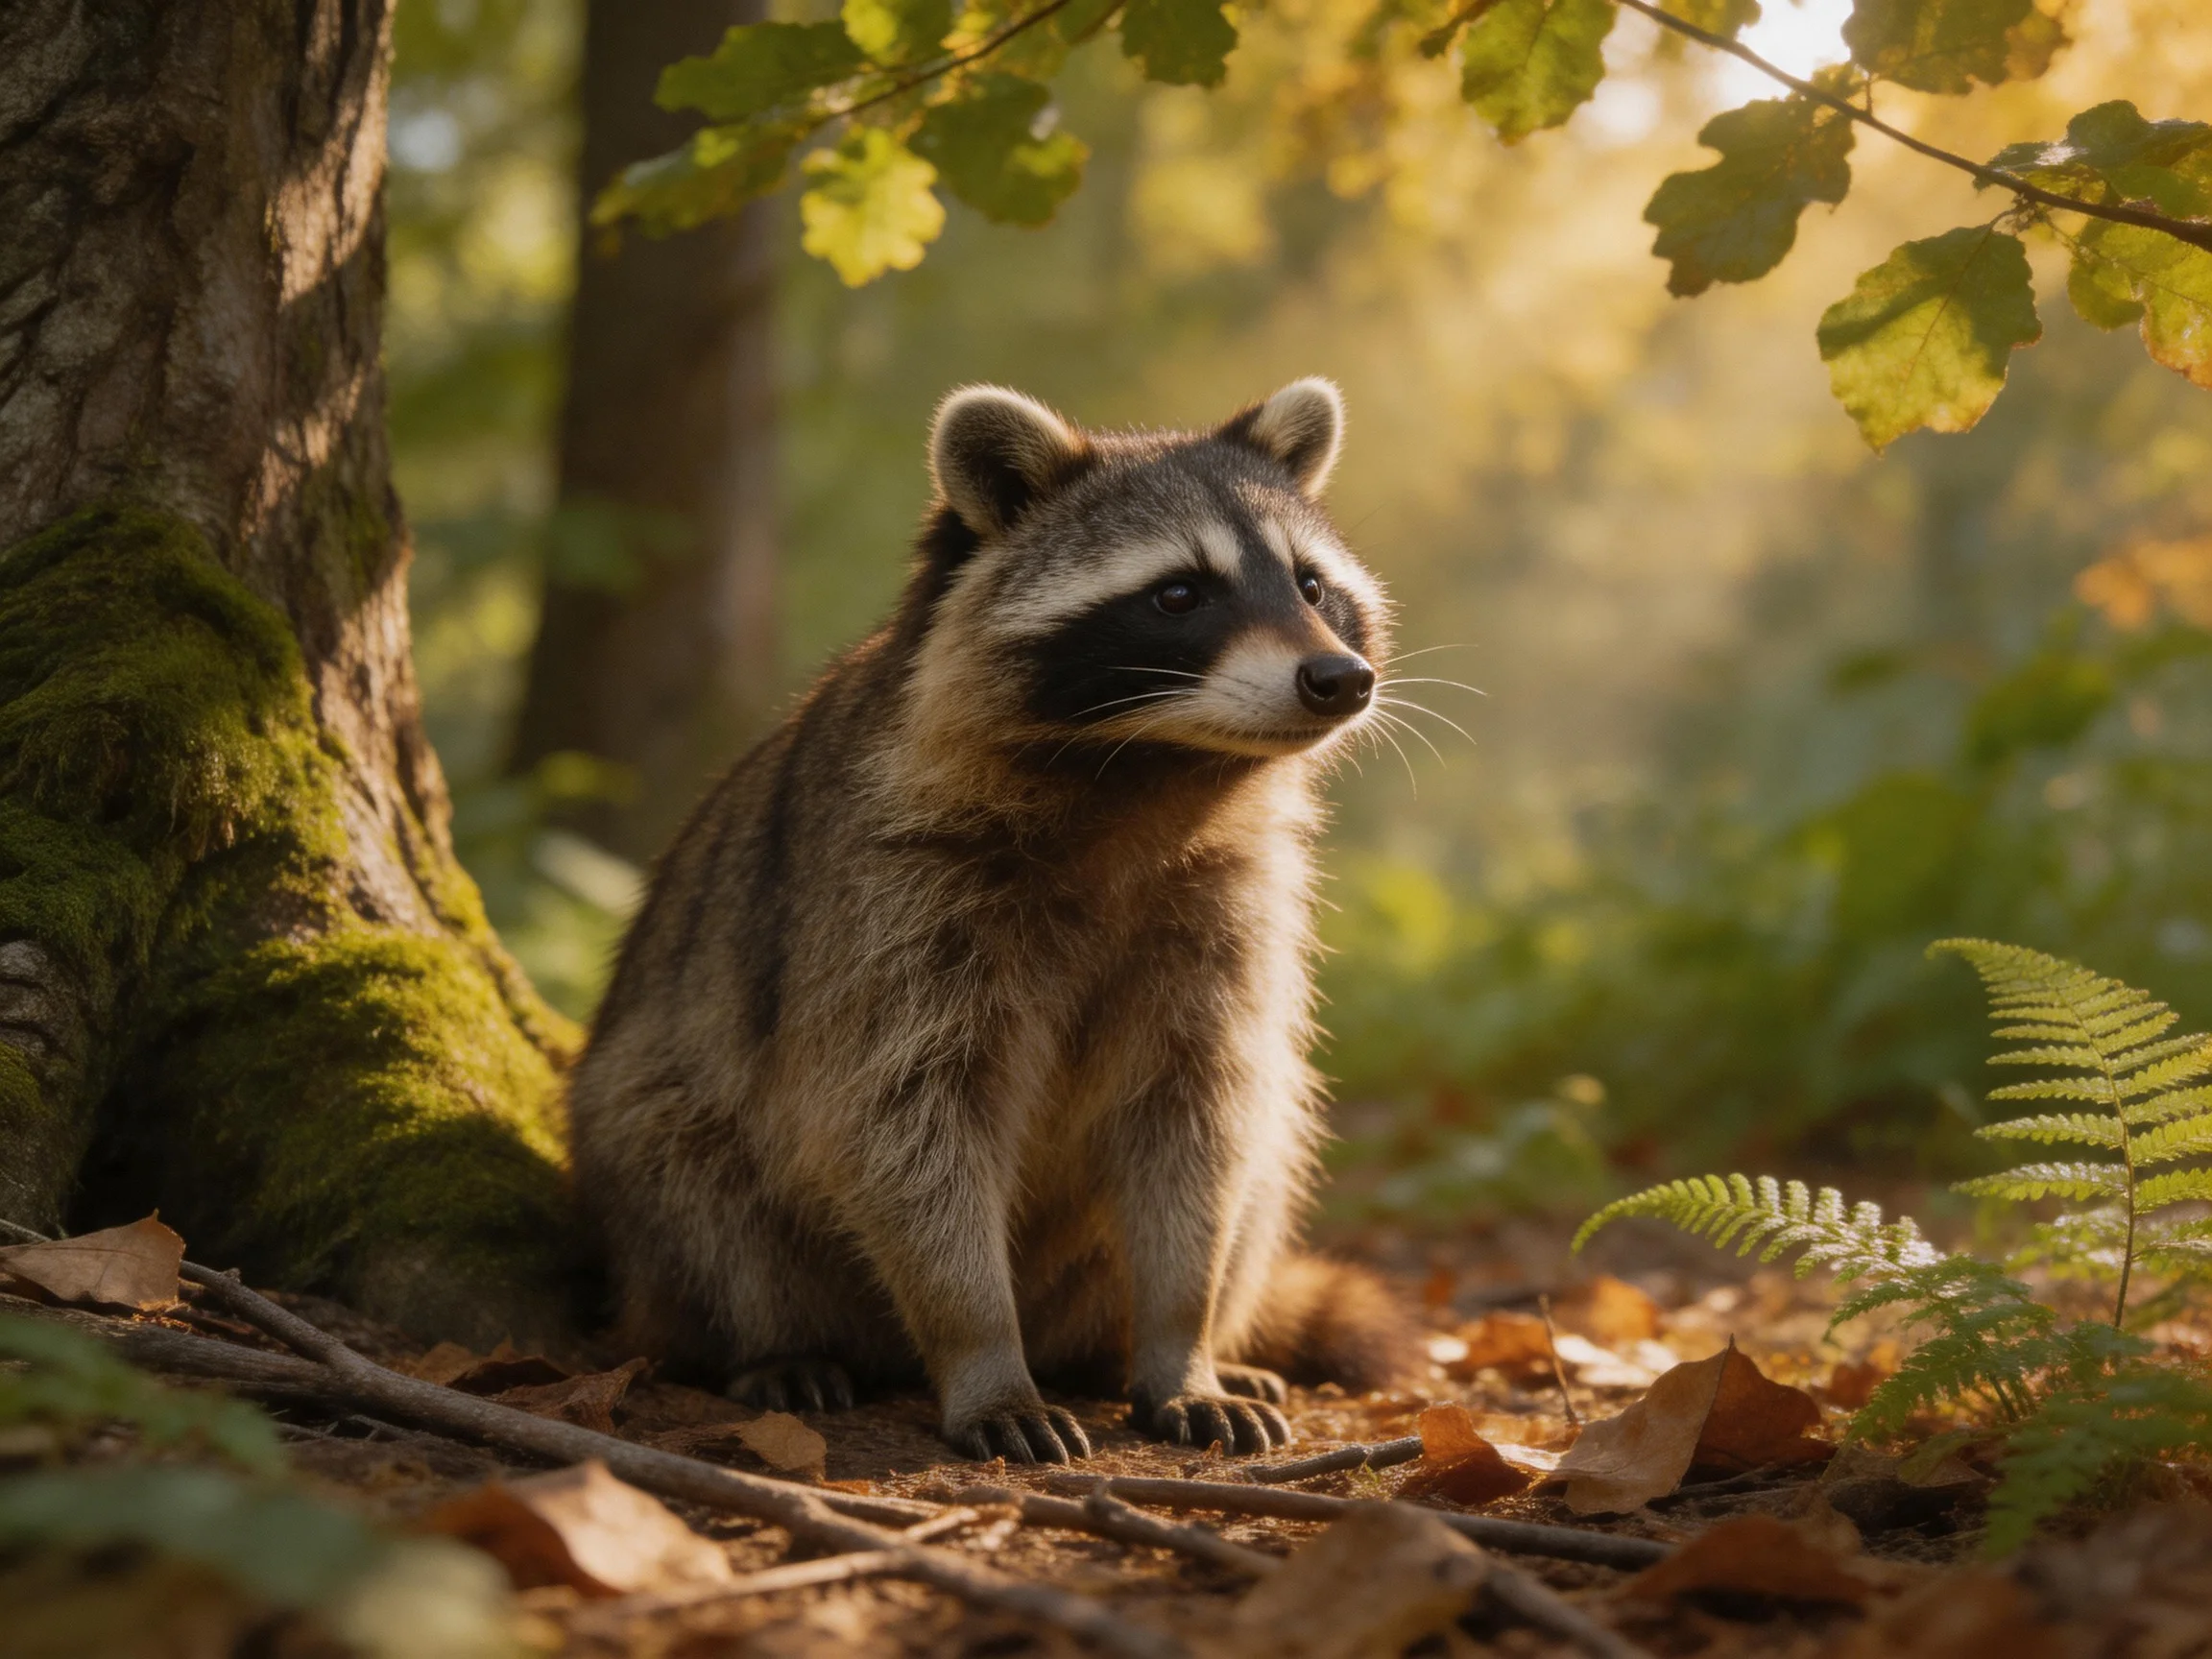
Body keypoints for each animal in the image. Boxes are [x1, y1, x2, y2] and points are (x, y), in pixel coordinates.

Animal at [568, 378, 1416, 1463]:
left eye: (1311, 587)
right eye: (1179, 594)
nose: (1339, 678)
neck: (1153, 770)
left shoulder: (1233, 903)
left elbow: (1201, 1120)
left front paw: (1181, 1338)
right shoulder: (891, 896)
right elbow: (902, 1123)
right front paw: (980, 1351)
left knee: (1265, 1149)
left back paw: (1139, 1347)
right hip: (659, 1148)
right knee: (690, 1178)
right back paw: (769, 1340)